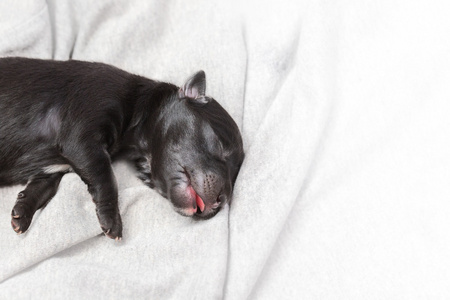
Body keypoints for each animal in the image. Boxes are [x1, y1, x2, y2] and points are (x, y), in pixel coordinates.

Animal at [0, 57, 243, 240]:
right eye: (220, 146)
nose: (222, 201)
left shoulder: (53, 168)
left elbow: (42, 187)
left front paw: (21, 214)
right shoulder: (82, 138)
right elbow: (106, 177)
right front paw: (112, 221)